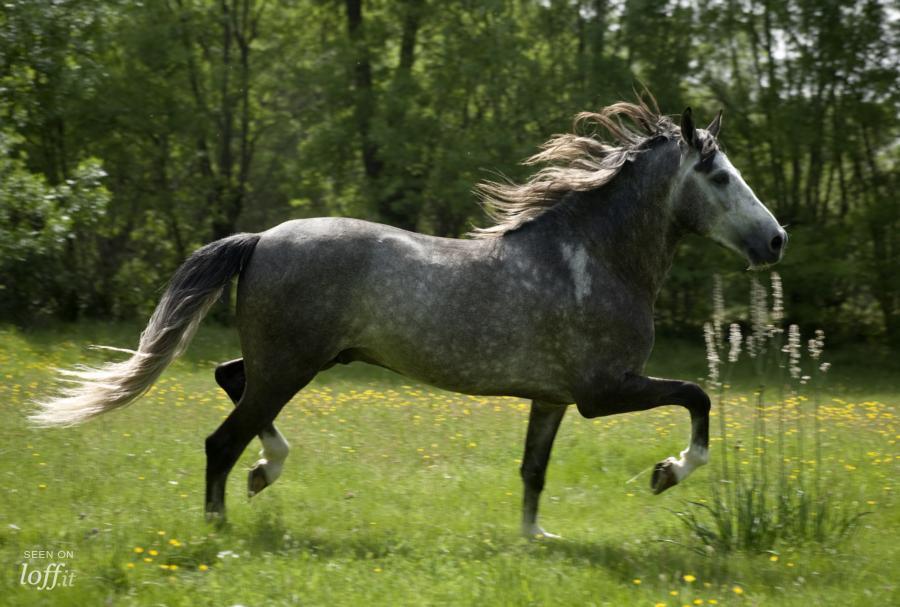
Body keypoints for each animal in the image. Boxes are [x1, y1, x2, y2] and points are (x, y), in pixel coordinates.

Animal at [31, 101, 784, 540]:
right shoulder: (604, 391)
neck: (593, 256)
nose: (775, 241)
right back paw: (223, 521)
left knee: (228, 381)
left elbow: (532, 471)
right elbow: (699, 397)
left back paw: (265, 473)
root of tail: (262, 238)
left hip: (296, 361)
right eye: (719, 176)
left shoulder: (552, 397)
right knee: (222, 439)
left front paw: (535, 541)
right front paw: (666, 473)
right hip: (292, 365)